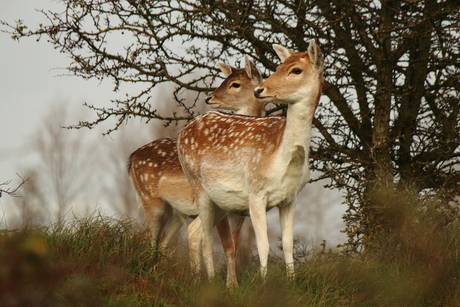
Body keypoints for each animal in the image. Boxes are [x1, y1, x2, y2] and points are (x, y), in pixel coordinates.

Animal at [126, 56, 262, 288]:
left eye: (235, 84)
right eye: (224, 79)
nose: (209, 97)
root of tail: (132, 158)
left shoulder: (238, 209)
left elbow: (232, 245)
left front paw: (229, 284)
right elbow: (225, 244)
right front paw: (228, 285)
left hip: (174, 211)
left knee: (162, 240)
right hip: (150, 199)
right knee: (148, 237)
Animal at [176, 40, 324, 282]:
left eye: (296, 70)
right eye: (278, 66)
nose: (260, 89)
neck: (281, 157)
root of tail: (183, 131)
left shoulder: (290, 198)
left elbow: (288, 244)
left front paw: (291, 281)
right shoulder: (256, 192)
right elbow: (262, 245)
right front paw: (263, 283)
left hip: (222, 202)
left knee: (198, 232)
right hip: (198, 186)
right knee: (206, 237)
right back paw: (210, 281)